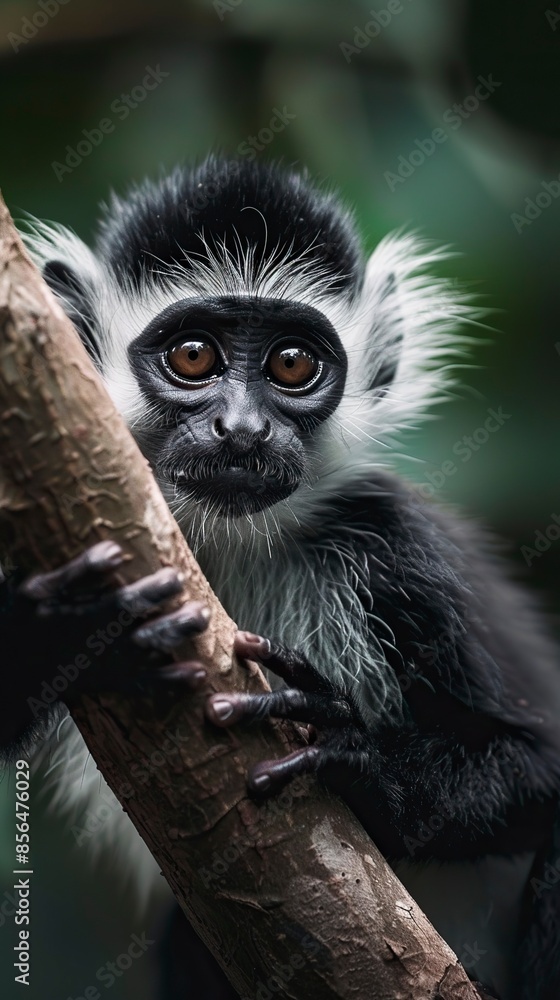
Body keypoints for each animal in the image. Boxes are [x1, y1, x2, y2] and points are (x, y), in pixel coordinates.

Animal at [1, 157, 559, 1000]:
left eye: (292, 364)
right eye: (193, 356)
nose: (241, 430)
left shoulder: (400, 553)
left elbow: (544, 767)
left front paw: (356, 756)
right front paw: (73, 630)